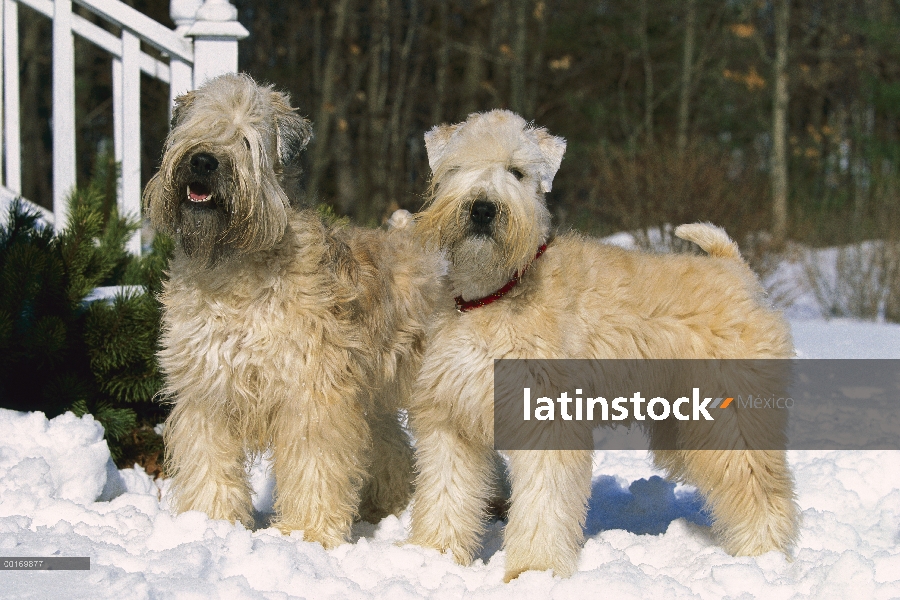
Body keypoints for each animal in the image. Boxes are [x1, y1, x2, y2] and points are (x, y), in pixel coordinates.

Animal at [404, 109, 800, 580]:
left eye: (517, 172)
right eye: (457, 168)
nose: (482, 209)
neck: (494, 294)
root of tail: (736, 269)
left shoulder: (546, 418)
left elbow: (542, 503)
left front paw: (533, 570)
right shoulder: (451, 417)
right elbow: (445, 492)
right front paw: (434, 555)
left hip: (732, 417)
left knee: (760, 488)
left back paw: (764, 557)